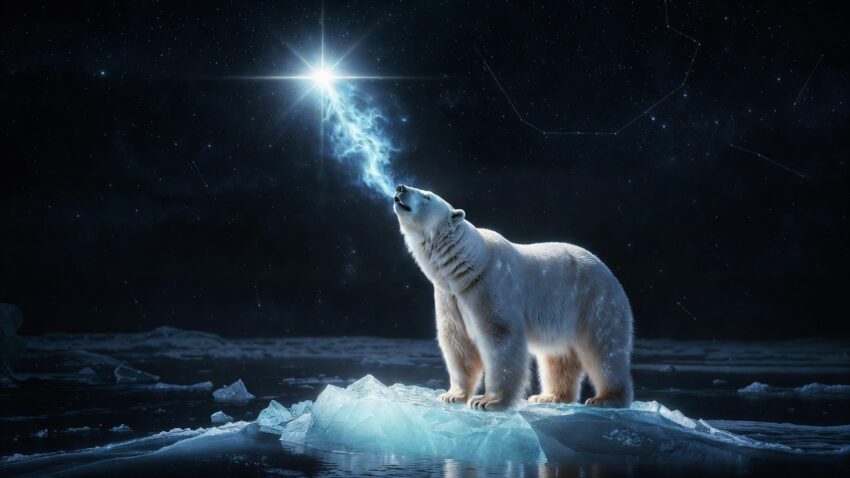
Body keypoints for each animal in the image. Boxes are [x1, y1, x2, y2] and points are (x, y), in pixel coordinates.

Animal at [393, 184, 633, 411]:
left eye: (427, 196)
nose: (400, 188)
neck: (470, 265)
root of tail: (608, 272)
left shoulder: (492, 284)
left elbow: (500, 336)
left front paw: (487, 401)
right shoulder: (450, 297)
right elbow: (458, 343)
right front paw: (452, 396)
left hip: (595, 301)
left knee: (604, 350)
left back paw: (607, 398)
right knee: (558, 355)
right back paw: (550, 396)